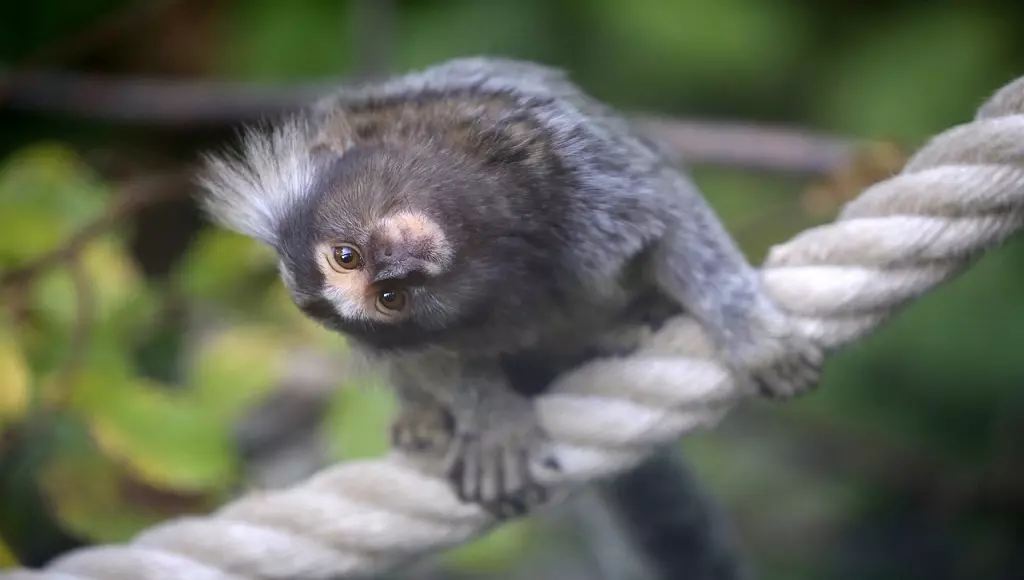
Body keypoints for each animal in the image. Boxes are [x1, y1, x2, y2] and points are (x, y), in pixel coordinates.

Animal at [199, 55, 823, 518]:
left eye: (346, 258)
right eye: (390, 300)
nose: (398, 269)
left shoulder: (570, 158)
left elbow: (669, 220)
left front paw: (753, 336)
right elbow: (440, 361)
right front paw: (493, 421)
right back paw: (425, 420)